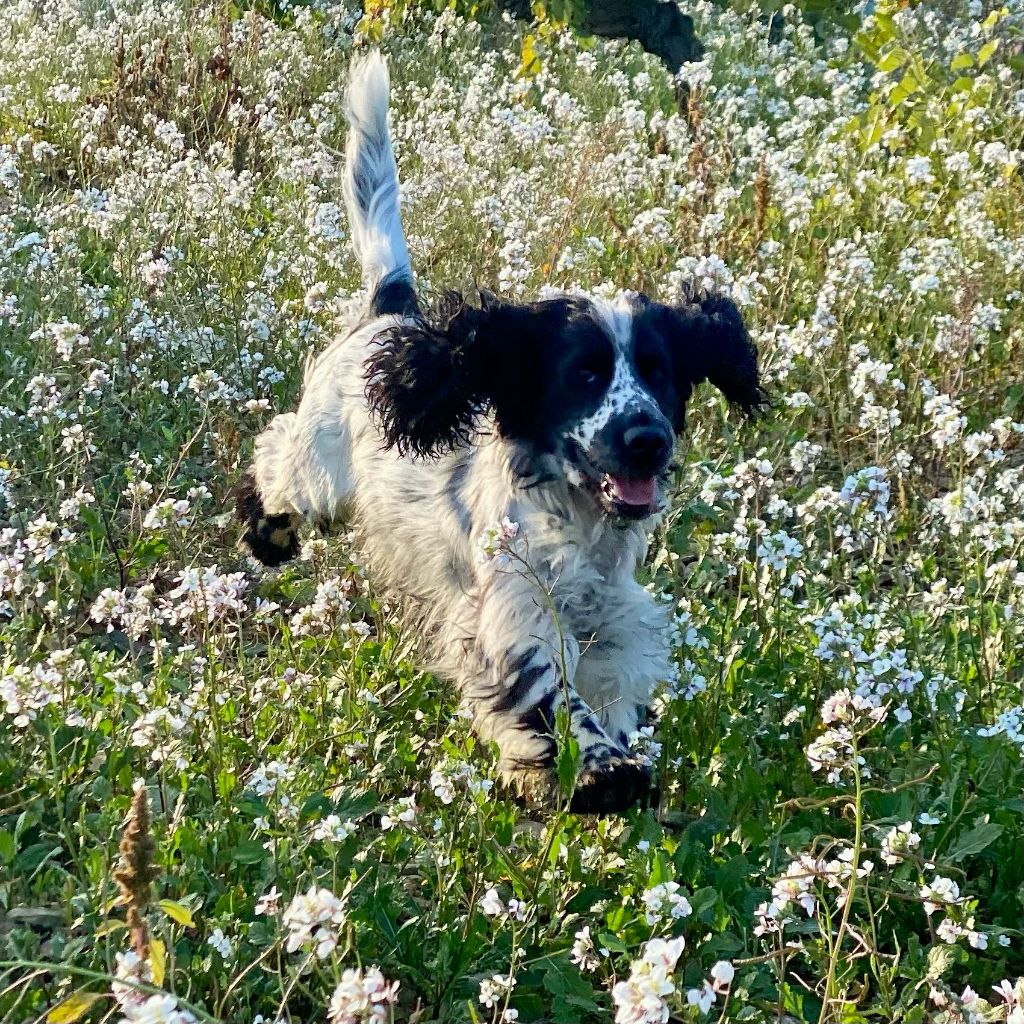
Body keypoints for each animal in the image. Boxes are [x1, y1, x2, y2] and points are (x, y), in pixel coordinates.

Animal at [234, 54, 761, 815]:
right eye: (585, 373)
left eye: (660, 372)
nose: (647, 439)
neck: (579, 522)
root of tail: (390, 316)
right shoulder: (514, 613)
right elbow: (550, 695)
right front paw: (602, 773)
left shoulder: (613, 625)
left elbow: (614, 689)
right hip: (319, 476)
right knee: (275, 462)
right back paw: (267, 535)